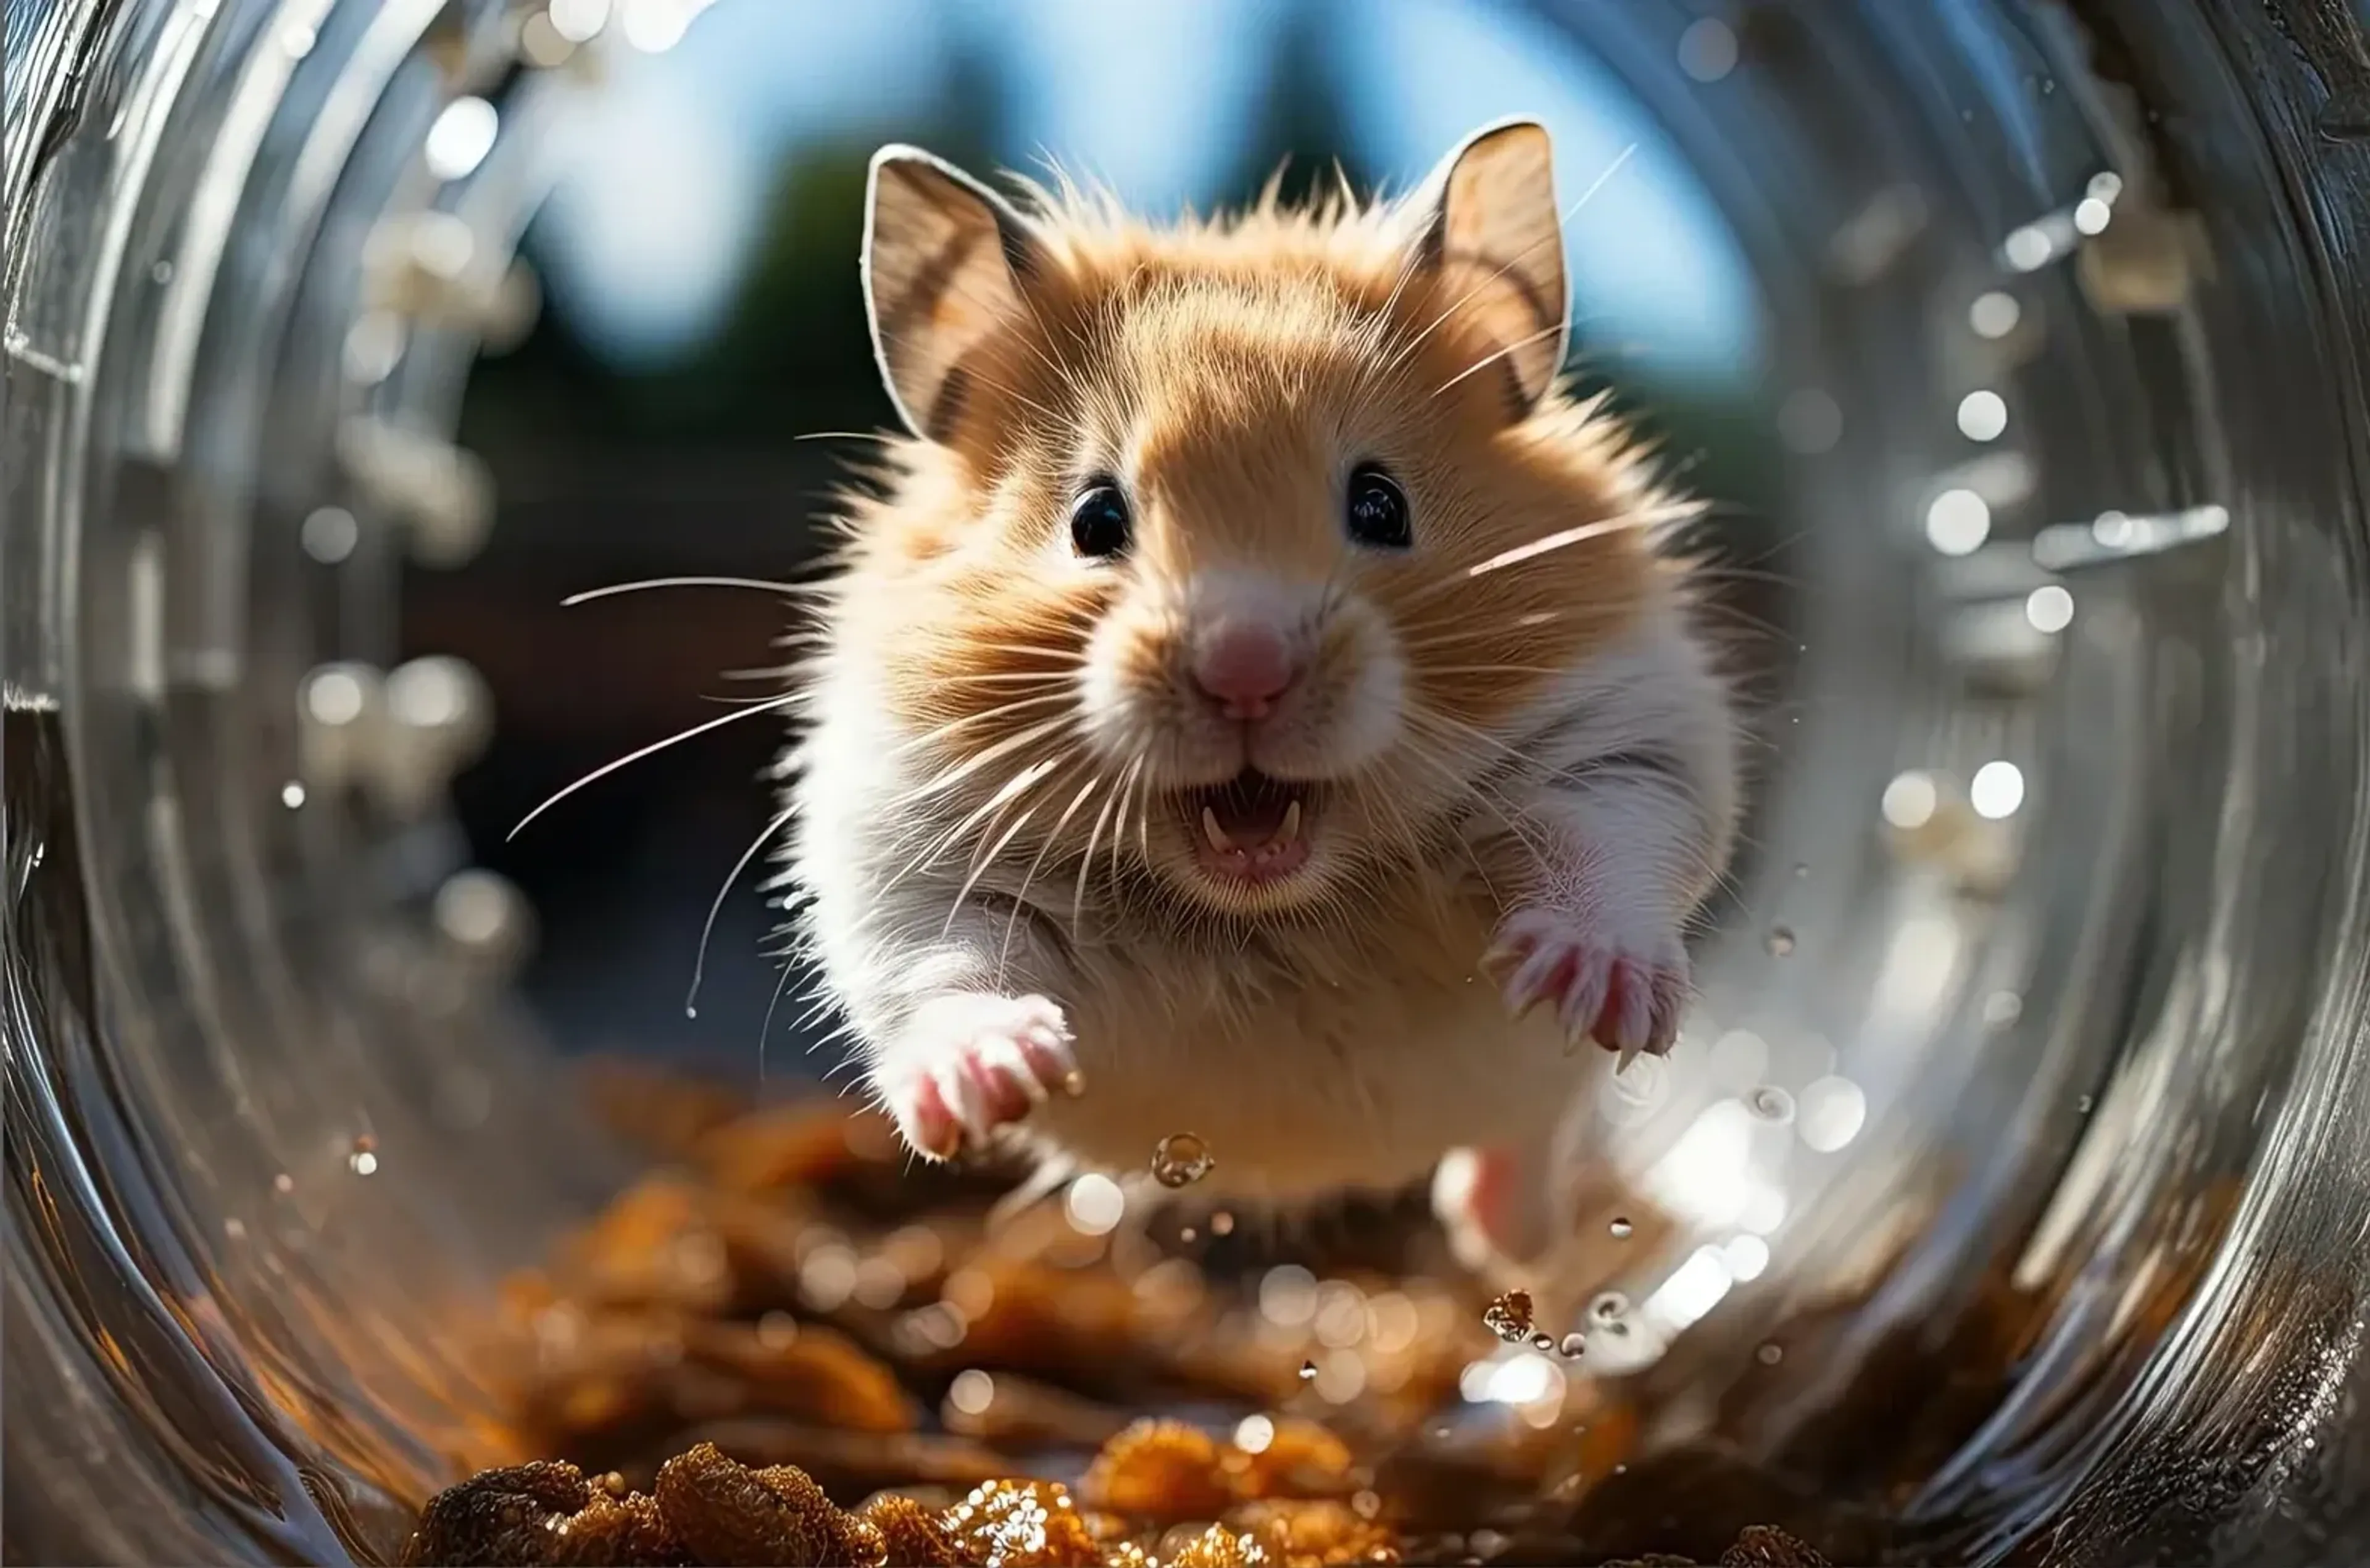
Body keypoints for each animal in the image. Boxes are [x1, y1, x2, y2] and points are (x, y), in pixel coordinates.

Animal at [779, 117, 1742, 1269]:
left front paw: (1593, 989)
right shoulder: (900, 836)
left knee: (1533, 1135)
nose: (1246, 671)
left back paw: (1505, 1233)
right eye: (1095, 520)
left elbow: (1607, 847)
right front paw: (990, 1087)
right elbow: (942, 961)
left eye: (1381, 505)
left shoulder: (1625, 733)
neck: (1274, 898)